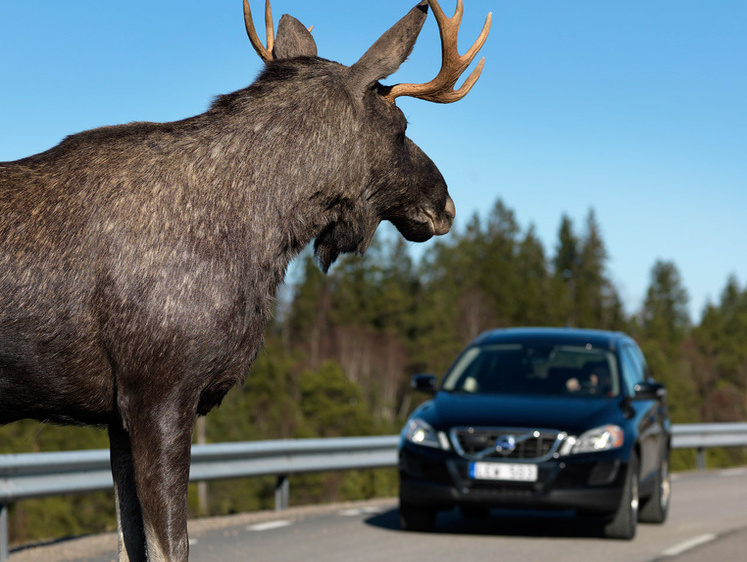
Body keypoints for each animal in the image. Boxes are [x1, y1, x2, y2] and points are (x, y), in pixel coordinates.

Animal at [0, 2, 494, 556]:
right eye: (402, 126)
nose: (445, 204)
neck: (261, 236)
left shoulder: (115, 414)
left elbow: (132, 543)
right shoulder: (159, 393)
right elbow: (170, 546)